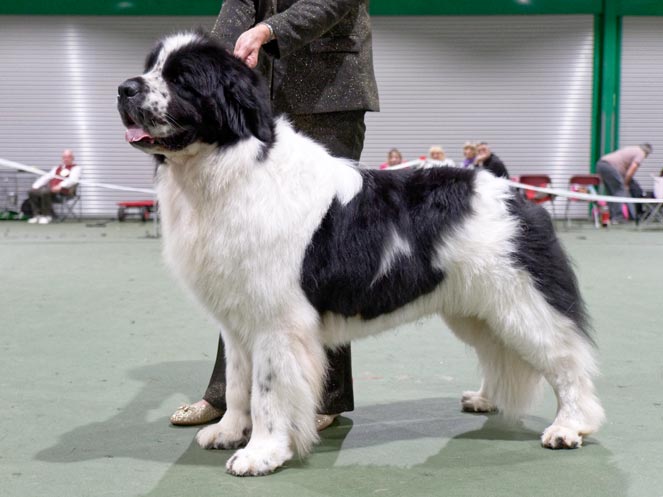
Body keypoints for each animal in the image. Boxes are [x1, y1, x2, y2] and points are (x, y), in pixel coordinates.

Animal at [116, 33, 604, 474]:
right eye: (151, 67)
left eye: (181, 79)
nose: (124, 88)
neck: (230, 166)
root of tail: (511, 190)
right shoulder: (237, 321)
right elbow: (238, 383)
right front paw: (228, 431)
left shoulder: (277, 322)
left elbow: (269, 391)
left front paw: (261, 454)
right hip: (477, 309)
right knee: (502, 354)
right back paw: (486, 399)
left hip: (522, 303)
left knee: (567, 362)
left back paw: (570, 427)